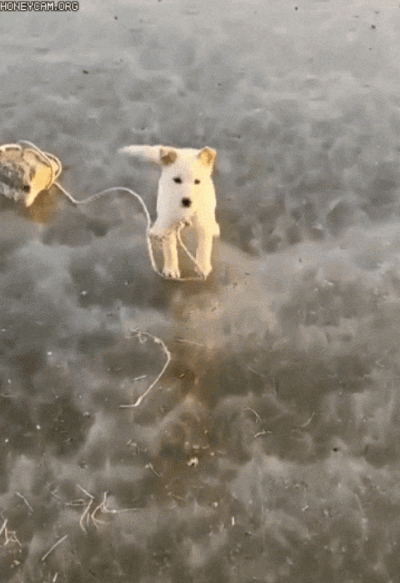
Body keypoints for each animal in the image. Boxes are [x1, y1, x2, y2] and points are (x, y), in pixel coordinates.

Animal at [119, 147, 219, 282]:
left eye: (197, 181)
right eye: (177, 180)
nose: (186, 201)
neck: (185, 212)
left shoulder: (202, 223)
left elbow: (204, 247)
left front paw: (202, 266)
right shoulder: (169, 223)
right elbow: (170, 249)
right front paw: (171, 269)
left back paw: (214, 227)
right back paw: (156, 230)